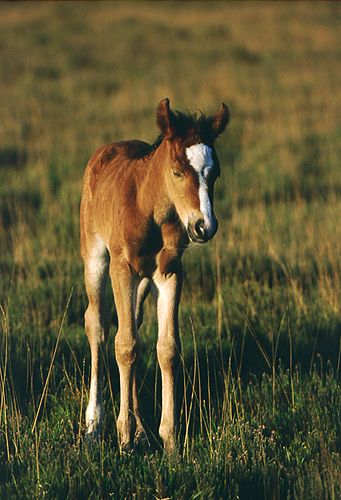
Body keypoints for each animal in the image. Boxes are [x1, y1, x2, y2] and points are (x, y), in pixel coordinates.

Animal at [80, 98, 228, 454]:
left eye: (215, 173)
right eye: (177, 171)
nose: (204, 226)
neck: (150, 209)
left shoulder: (169, 272)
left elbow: (166, 348)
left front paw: (169, 439)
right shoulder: (121, 268)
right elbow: (124, 345)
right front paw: (123, 437)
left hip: (144, 280)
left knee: (132, 321)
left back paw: (140, 430)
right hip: (94, 256)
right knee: (97, 324)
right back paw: (94, 424)